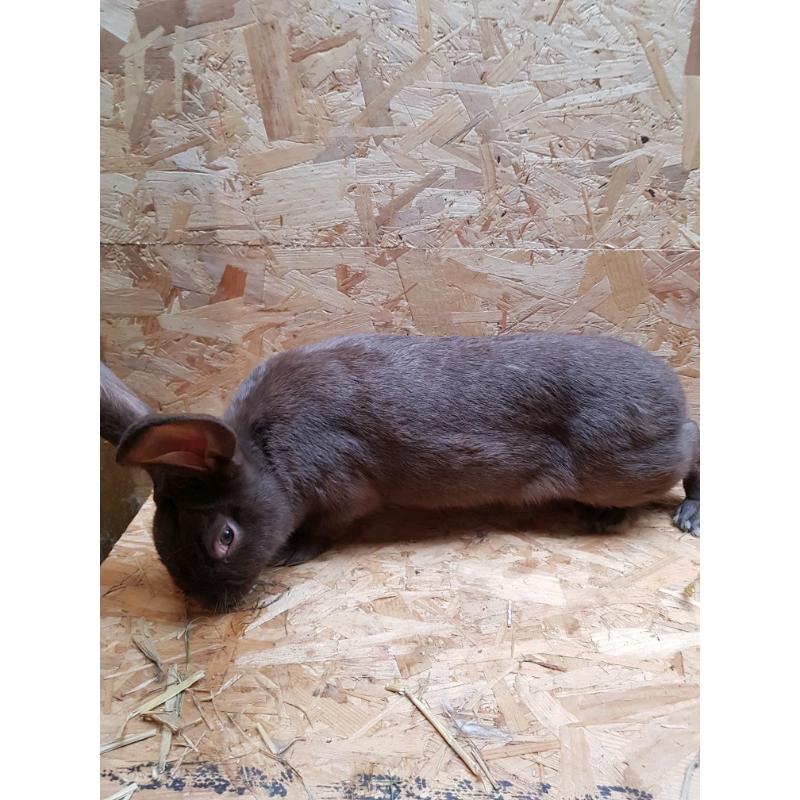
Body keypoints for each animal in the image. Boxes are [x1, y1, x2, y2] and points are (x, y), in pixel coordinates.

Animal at [101, 333, 700, 610]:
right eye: (159, 540)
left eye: (225, 537)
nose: (206, 604)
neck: (265, 452)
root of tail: (669, 390)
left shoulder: (343, 492)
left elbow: (325, 527)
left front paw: (293, 552)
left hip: (623, 464)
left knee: (691, 441)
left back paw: (680, 515)